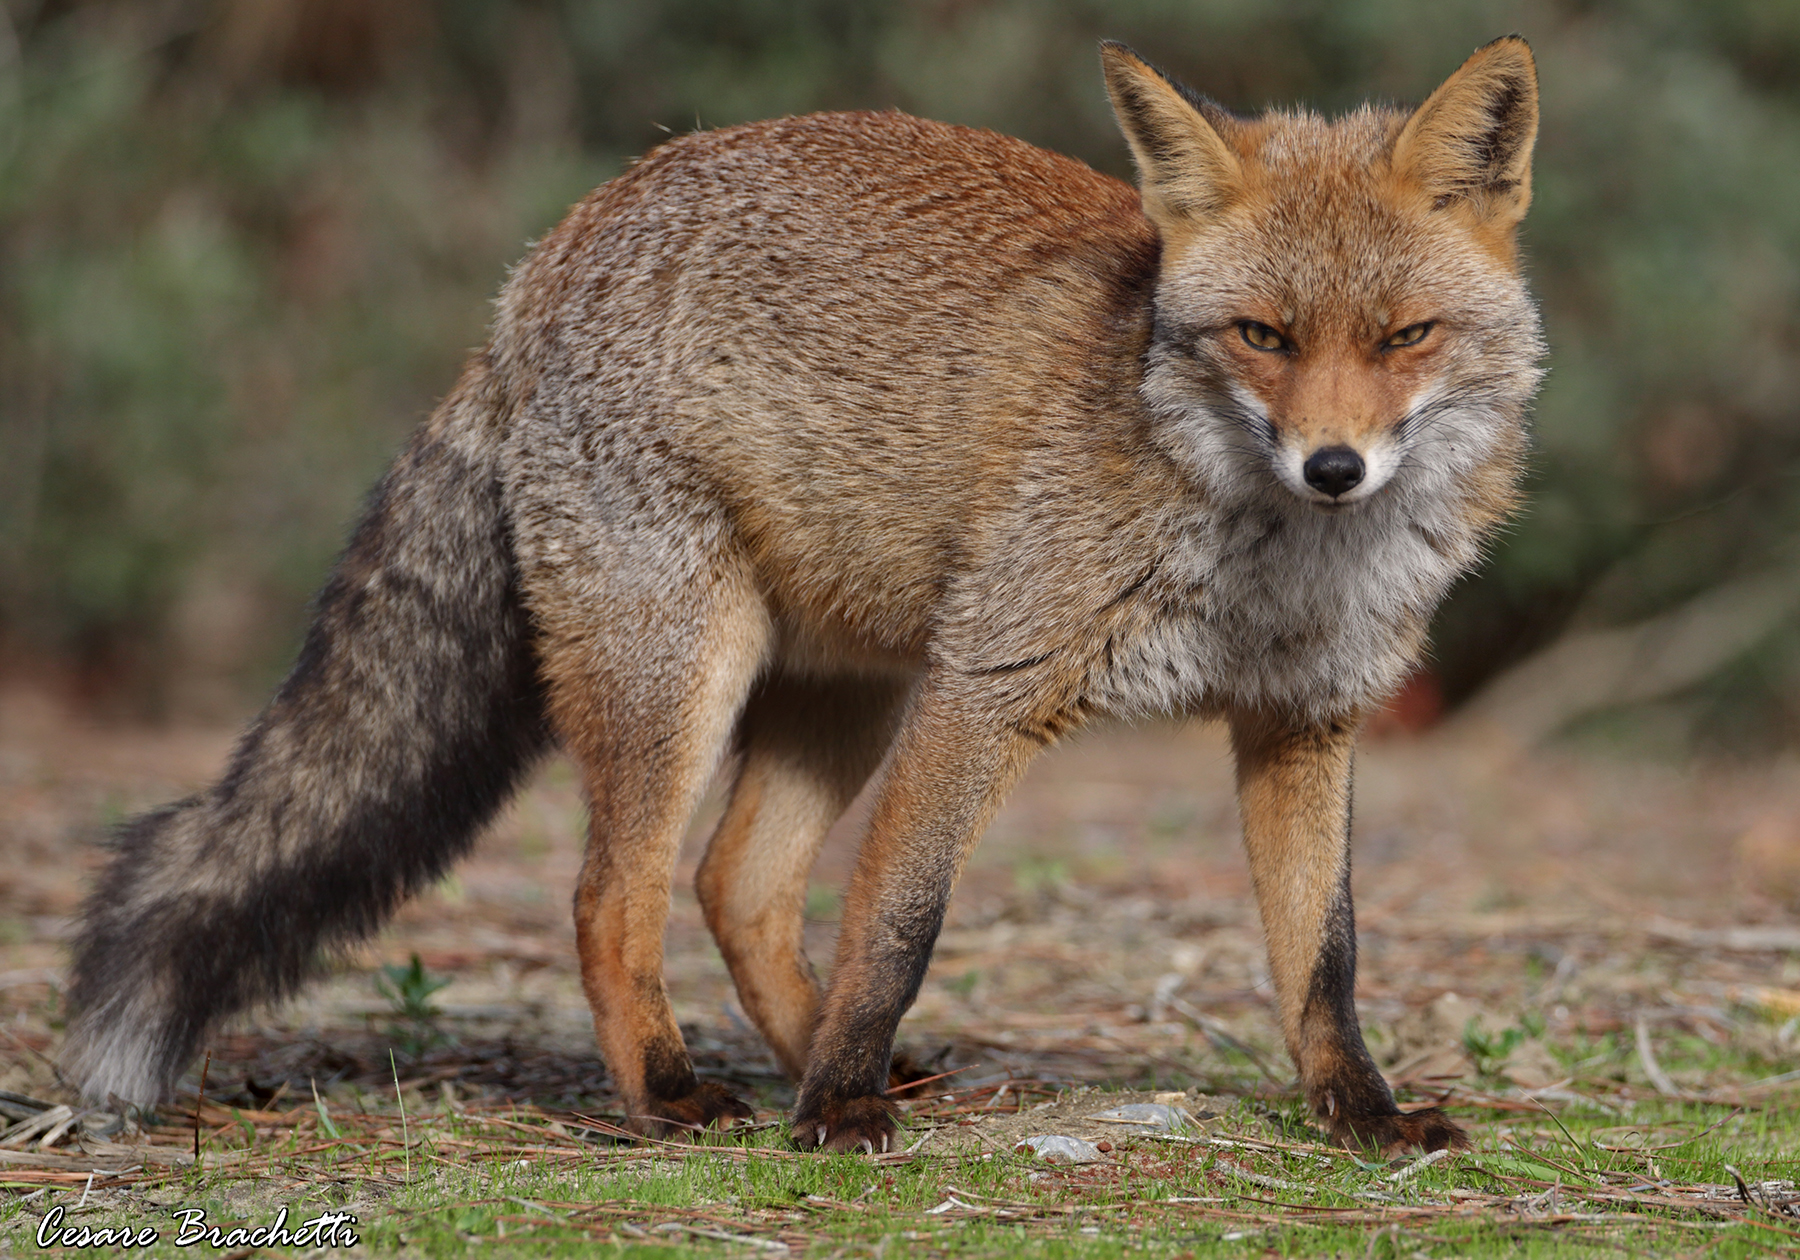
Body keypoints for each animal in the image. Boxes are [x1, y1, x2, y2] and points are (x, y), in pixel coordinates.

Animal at [63, 37, 1541, 1155]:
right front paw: (832, 1114)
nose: (1335, 466)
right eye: (1263, 337)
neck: (1274, 563)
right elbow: (899, 917)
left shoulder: (1305, 722)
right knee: (612, 899)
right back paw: (679, 1093)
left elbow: (1323, 959)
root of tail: (543, 264)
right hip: (687, 675)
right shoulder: (987, 687)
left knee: (738, 885)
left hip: (846, 694)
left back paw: (837, 1059)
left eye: (1405, 337)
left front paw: (1362, 1114)